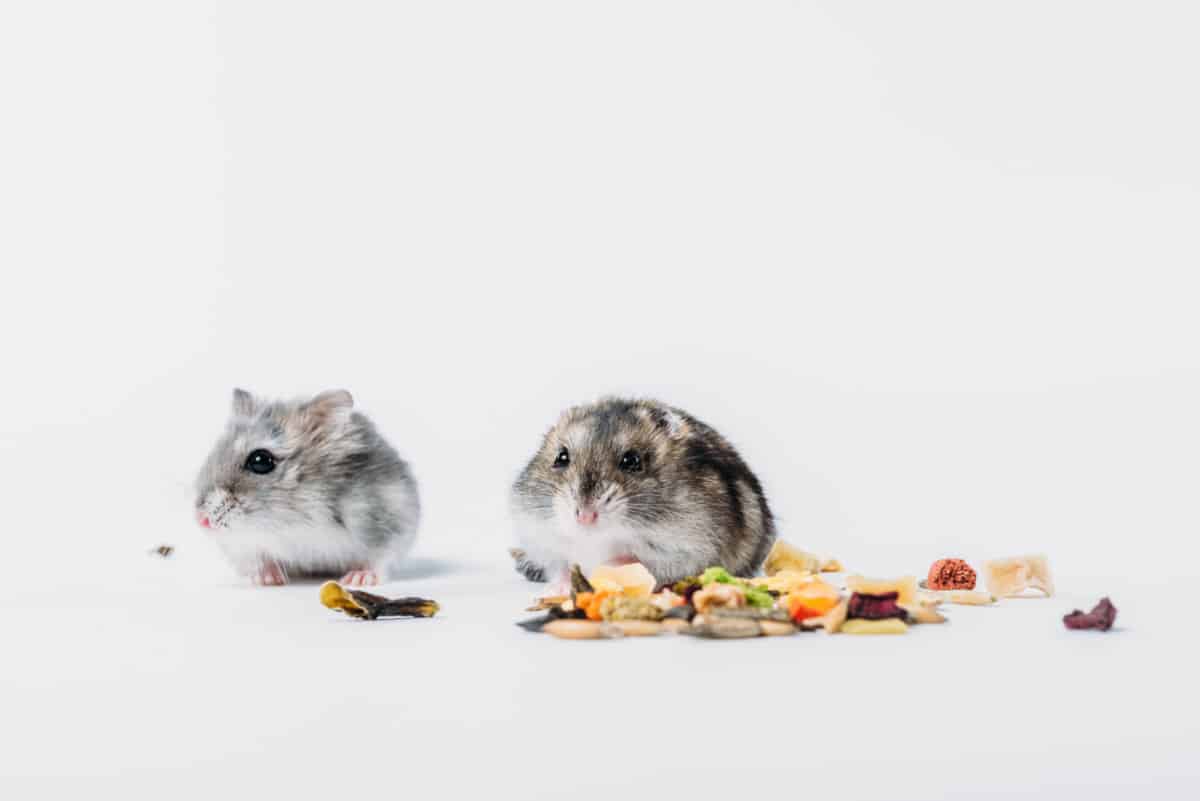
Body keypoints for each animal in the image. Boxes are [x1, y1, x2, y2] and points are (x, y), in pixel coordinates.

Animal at [195, 388, 420, 587]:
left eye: (260, 460)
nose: (201, 520)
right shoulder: (240, 545)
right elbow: (257, 559)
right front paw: (267, 579)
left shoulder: (389, 524)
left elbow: (378, 559)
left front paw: (359, 579)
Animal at [510, 397, 776, 588]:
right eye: (561, 457)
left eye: (632, 461)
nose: (585, 517)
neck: (598, 538)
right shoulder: (540, 538)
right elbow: (561, 565)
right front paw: (561, 589)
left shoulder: (690, 550)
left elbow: (640, 560)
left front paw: (608, 565)